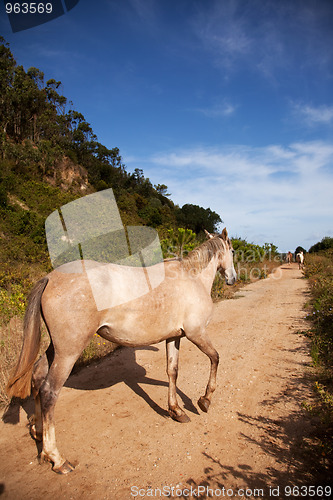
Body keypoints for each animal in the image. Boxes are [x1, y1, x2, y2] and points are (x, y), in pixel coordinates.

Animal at [6, 229, 235, 474]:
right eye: (232, 251)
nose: (232, 278)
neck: (192, 278)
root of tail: (50, 278)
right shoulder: (196, 334)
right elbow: (215, 358)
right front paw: (204, 400)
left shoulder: (174, 337)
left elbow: (172, 372)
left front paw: (176, 411)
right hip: (68, 352)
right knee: (49, 392)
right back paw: (57, 459)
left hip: (56, 349)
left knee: (38, 376)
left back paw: (39, 433)